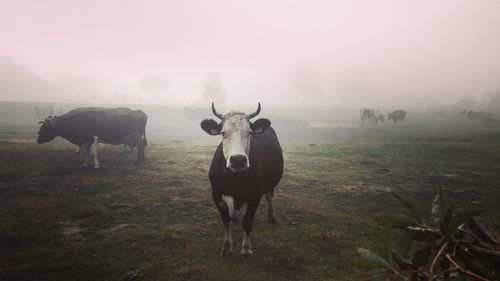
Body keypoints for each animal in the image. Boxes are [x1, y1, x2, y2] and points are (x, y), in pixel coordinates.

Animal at [200, 102, 286, 256]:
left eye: (250, 132)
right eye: (222, 133)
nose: (238, 160)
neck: (234, 180)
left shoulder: (254, 196)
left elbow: (247, 222)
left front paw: (246, 249)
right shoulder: (216, 195)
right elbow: (226, 222)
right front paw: (227, 247)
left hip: (269, 185)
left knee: (269, 196)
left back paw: (271, 217)